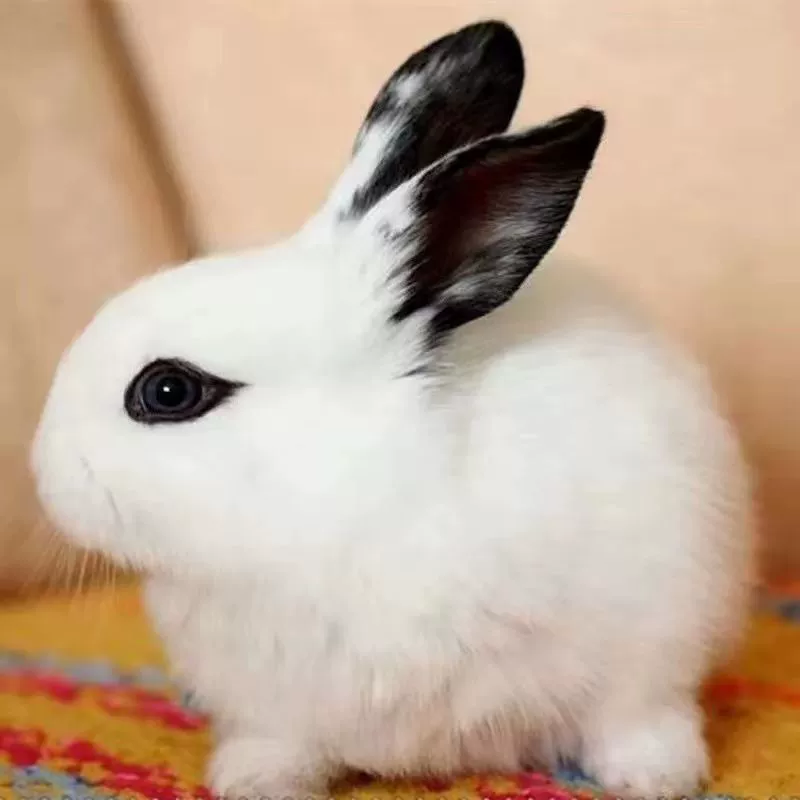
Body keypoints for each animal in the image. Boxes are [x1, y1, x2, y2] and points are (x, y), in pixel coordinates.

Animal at [31, 20, 755, 800]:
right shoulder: (273, 706)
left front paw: (657, 778)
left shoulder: (648, 646)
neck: (355, 494)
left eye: (168, 392)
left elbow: (635, 715)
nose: (41, 474)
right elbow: (278, 742)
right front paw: (253, 781)